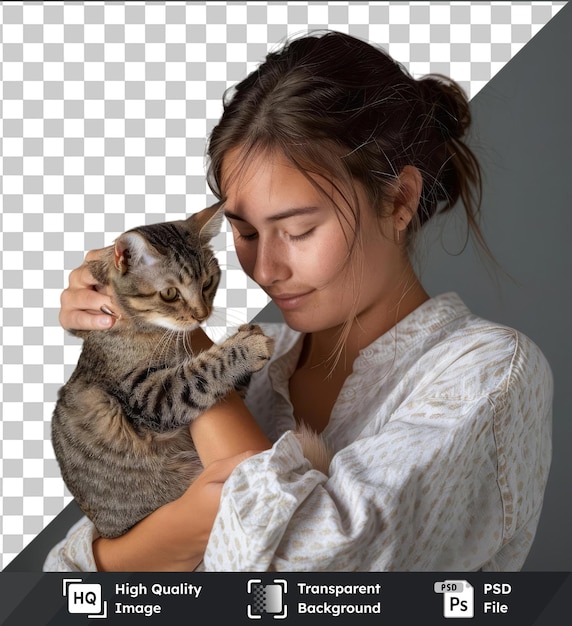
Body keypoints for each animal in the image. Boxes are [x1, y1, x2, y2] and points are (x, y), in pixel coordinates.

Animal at [50, 205, 280, 536]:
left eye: (207, 283)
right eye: (170, 294)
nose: (202, 315)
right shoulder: (149, 396)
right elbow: (200, 373)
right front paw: (247, 347)